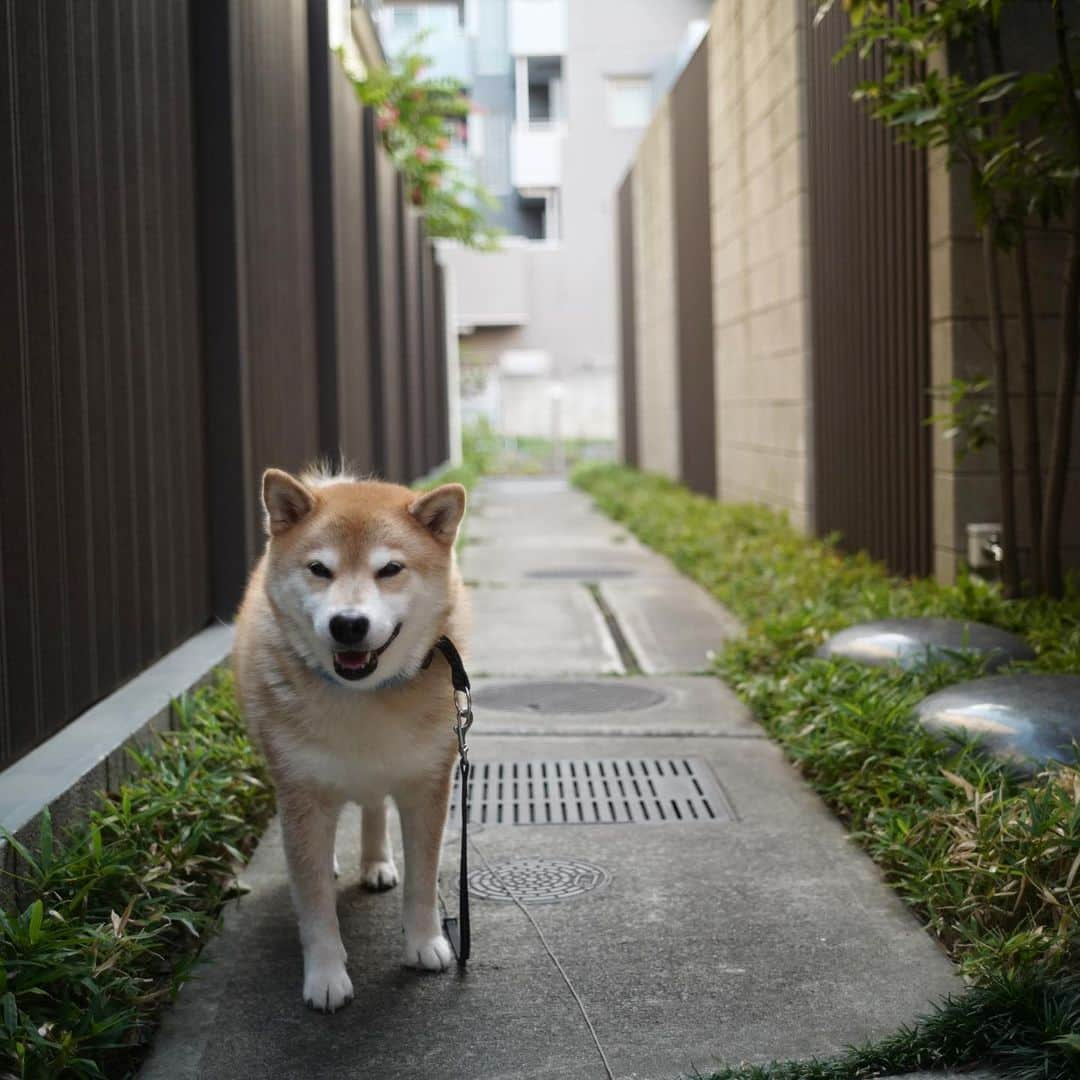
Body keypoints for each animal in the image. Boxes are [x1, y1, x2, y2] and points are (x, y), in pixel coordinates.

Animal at [232, 466, 468, 1010]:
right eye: (320, 569)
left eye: (390, 569)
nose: (348, 624)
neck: (363, 697)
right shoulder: (301, 794)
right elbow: (315, 901)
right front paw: (325, 976)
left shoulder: (427, 787)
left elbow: (423, 881)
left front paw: (426, 943)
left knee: (374, 806)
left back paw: (376, 862)